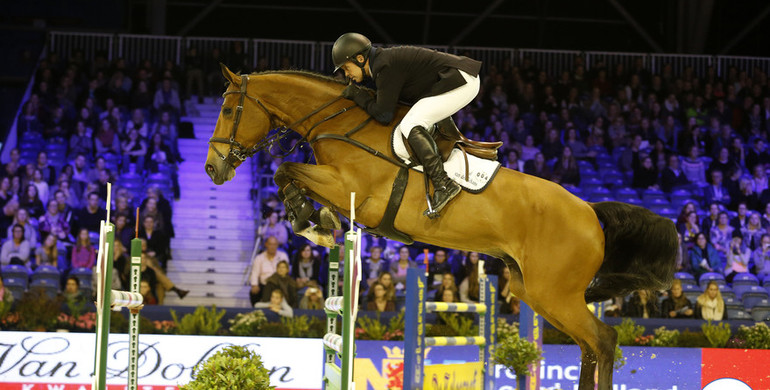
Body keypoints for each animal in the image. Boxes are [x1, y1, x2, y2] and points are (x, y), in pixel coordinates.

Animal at [202, 64, 672, 390]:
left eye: (226, 109)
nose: (212, 169)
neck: (340, 123)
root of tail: (590, 212)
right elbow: (288, 175)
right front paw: (314, 222)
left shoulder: (351, 190)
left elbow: (285, 170)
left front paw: (312, 222)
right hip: (534, 291)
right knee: (589, 345)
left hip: (554, 293)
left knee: (604, 340)